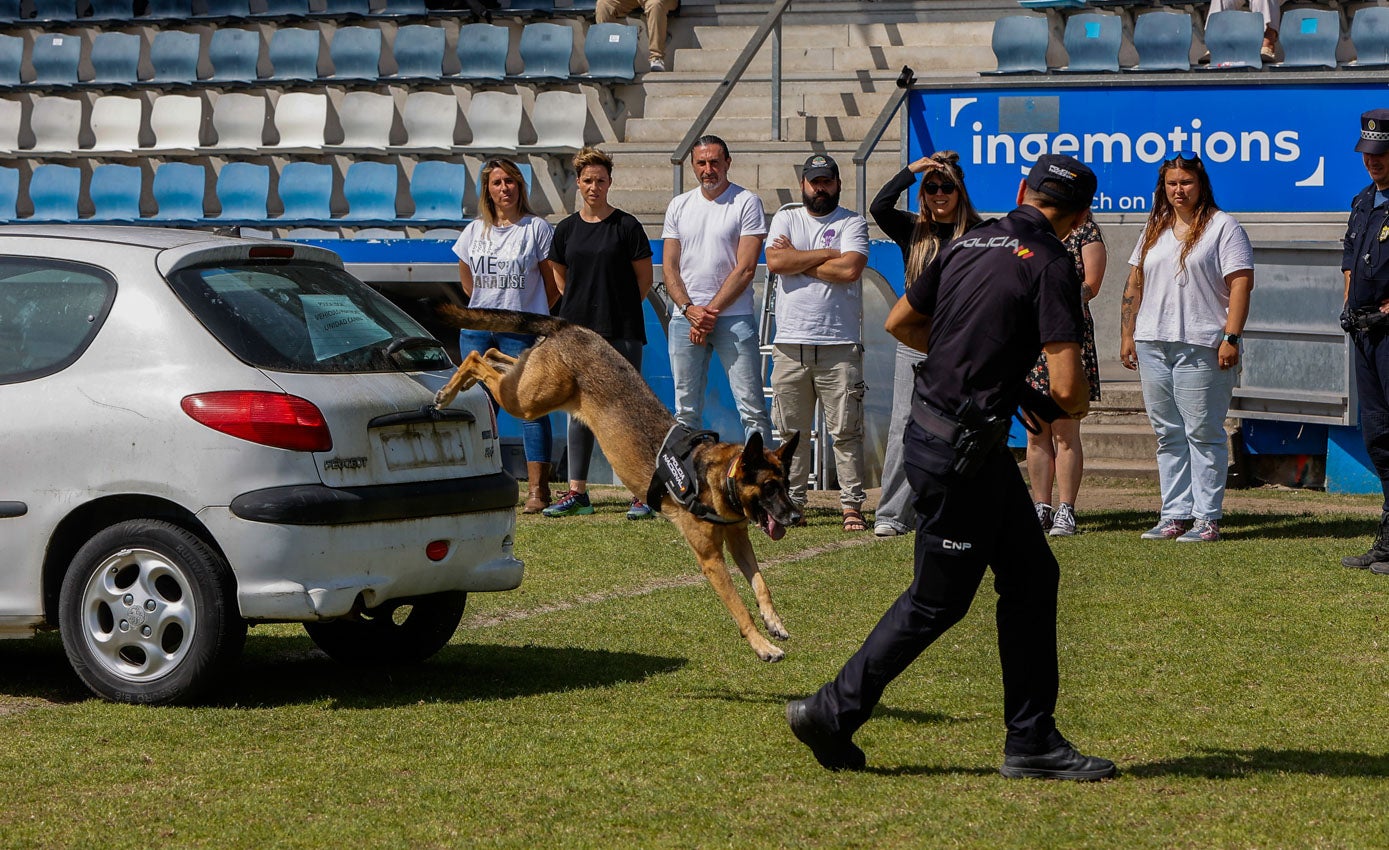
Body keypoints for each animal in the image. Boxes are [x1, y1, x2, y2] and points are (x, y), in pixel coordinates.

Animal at [433, 305, 805, 663]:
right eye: (770, 487)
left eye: (785, 484)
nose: (796, 516)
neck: (717, 478)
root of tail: (569, 326)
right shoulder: (712, 559)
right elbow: (741, 608)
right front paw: (762, 646)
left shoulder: (739, 540)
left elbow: (761, 583)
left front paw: (774, 622)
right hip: (527, 400)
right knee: (477, 357)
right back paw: (449, 390)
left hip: (532, 388)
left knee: (495, 353)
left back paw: (463, 382)